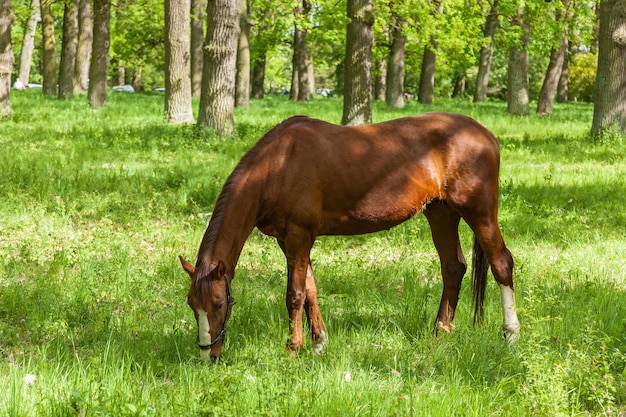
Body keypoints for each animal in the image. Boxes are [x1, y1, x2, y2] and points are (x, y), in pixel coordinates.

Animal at [178, 112, 520, 360]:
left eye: (219, 303)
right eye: (192, 305)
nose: (209, 356)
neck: (279, 165)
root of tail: (486, 135)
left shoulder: (299, 236)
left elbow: (295, 294)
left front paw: (293, 349)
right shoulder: (289, 240)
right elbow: (310, 289)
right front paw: (318, 344)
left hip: (478, 212)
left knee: (502, 263)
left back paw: (510, 335)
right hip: (441, 213)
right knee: (453, 268)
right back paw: (440, 333)